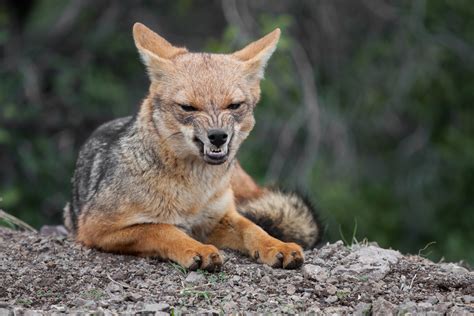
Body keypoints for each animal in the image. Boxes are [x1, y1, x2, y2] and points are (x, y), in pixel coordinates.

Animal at [63, 22, 320, 272]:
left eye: (234, 105)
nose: (218, 136)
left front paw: (277, 245)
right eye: (188, 107)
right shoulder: (96, 228)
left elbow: (253, 228)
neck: (193, 194)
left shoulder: (219, 217)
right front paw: (197, 249)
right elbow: (162, 229)